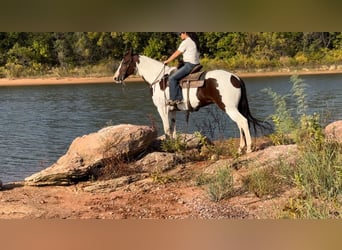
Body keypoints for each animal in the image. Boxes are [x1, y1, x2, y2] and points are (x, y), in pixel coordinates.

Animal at [113, 48, 266, 152]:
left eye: (125, 62)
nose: (115, 77)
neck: (160, 79)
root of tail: (235, 77)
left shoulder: (162, 109)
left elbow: (167, 129)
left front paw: (168, 148)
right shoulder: (172, 110)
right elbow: (173, 130)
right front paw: (174, 147)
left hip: (229, 108)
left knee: (243, 122)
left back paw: (248, 148)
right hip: (234, 108)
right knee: (240, 124)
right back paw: (240, 149)